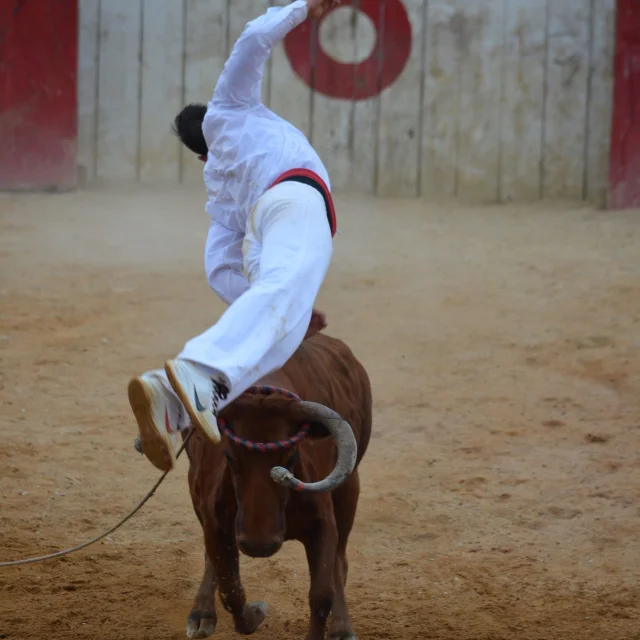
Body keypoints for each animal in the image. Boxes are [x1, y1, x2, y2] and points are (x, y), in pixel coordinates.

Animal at [181, 332, 370, 640]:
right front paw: (255, 612)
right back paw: (202, 613)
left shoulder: (324, 524)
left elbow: (322, 595)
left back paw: (342, 628)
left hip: (348, 490)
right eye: (230, 456)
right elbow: (230, 590)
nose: (260, 545)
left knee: (340, 563)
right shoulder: (215, 521)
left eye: (290, 456)